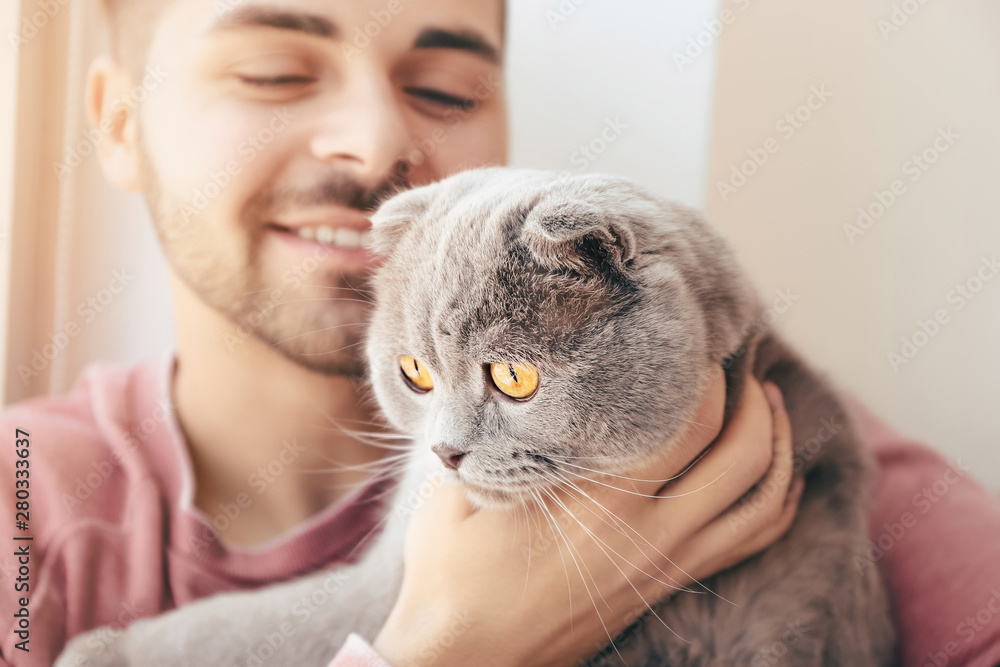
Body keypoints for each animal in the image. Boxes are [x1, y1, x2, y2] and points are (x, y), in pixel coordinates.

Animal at [58, 168, 896, 667]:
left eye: (513, 376)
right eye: (415, 373)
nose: (445, 454)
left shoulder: (371, 589)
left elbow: (248, 627)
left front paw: (99, 648)